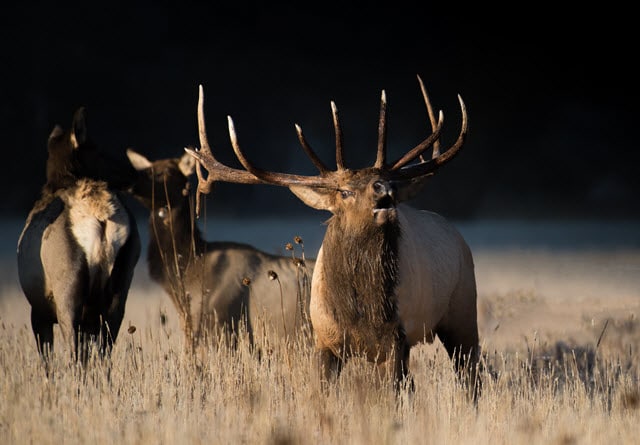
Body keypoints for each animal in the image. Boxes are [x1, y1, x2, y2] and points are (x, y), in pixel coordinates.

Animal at [16, 106, 141, 368]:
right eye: (99, 151)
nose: (134, 173)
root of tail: (100, 216)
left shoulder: (38, 310)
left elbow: (48, 361)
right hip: (121, 283)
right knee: (105, 352)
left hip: (69, 286)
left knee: (74, 355)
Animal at [185, 74, 480, 398]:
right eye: (345, 191)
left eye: (386, 180)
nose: (384, 189)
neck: (360, 312)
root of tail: (456, 234)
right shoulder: (325, 338)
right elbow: (324, 392)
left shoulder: (396, 335)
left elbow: (392, 394)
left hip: (463, 309)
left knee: (471, 374)